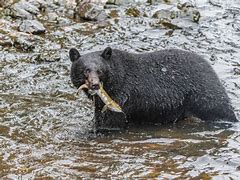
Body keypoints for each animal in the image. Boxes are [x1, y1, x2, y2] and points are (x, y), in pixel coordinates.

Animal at [68, 47, 237, 130]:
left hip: (204, 95)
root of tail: (212, 70)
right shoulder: (102, 102)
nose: (95, 85)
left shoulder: (121, 97)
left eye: (100, 71)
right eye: (85, 70)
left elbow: (112, 122)